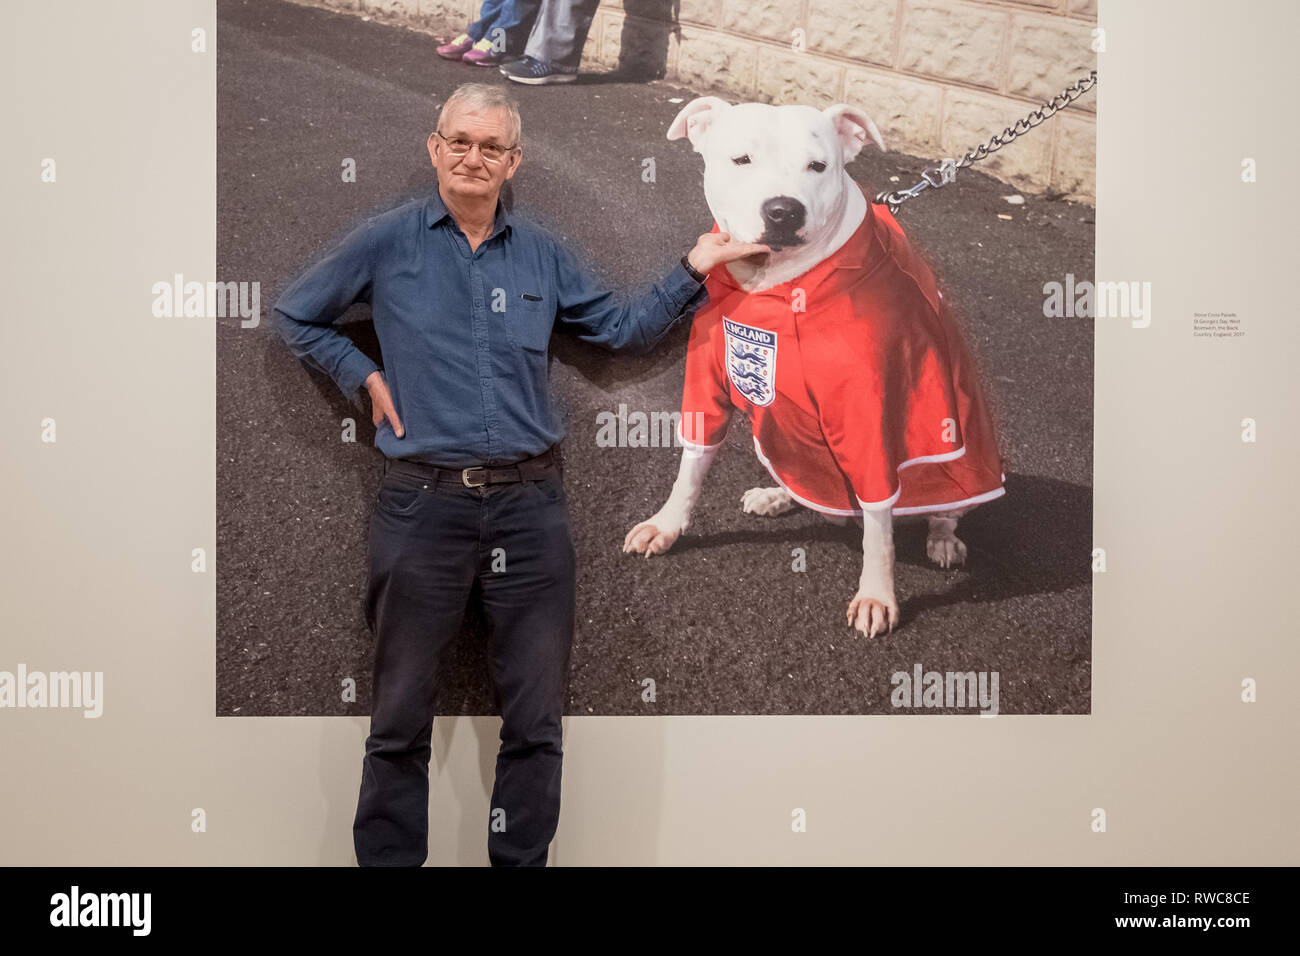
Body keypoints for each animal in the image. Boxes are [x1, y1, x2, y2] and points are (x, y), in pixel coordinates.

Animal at [618, 97, 1003, 639]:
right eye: (742, 160)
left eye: (818, 166)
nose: (784, 210)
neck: (778, 284)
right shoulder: (706, 386)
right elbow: (690, 469)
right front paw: (667, 526)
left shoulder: (871, 420)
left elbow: (880, 528)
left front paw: (877, 595)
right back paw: (776, 496)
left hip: (962, 468)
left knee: (939, 514)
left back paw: (942, 539)